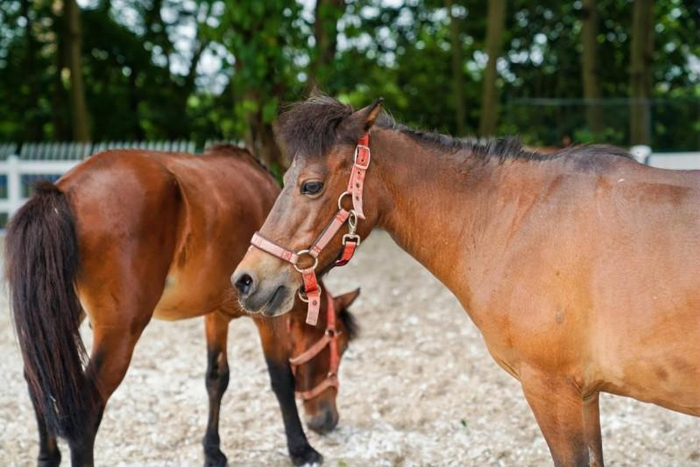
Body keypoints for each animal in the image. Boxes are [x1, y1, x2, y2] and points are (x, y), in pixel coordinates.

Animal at [5, 144, 360, 467]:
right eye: (340, 346)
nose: (327, 420)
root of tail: (64, 191)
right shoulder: (268, 317)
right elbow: (281, 378)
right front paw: (301, 449)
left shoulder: (215, 315)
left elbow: (216, 379)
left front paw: (213, 451)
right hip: (119, 333)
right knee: (85, 410)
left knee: (39, 380)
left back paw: (47, 457)